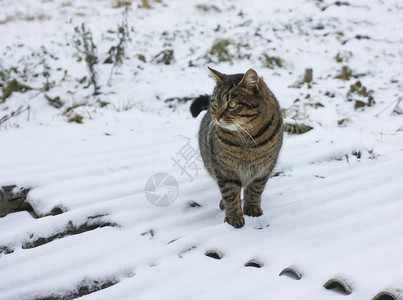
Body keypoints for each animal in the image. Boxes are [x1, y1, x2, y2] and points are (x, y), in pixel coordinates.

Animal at [190, 68, 282, 227]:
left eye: (232, 104)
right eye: (215, 103)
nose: (216, 117)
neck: (248, 139)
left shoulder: (263, 169)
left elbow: (255, 190)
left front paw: (252, 208)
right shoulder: (224, 169)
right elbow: (230, 194)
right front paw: (233, 216)